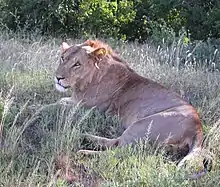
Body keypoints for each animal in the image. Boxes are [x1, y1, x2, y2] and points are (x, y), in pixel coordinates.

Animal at [55, 39, 213, 177]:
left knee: (119, 150)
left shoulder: (88, 108)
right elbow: (61, 100)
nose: (58, 78)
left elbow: (57, 104)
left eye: (77, 64)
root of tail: (198, 128)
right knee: (115, 143)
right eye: (63, 58)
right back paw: (84, 136)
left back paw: (84, 151)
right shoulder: (76, 101)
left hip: (142, 124)